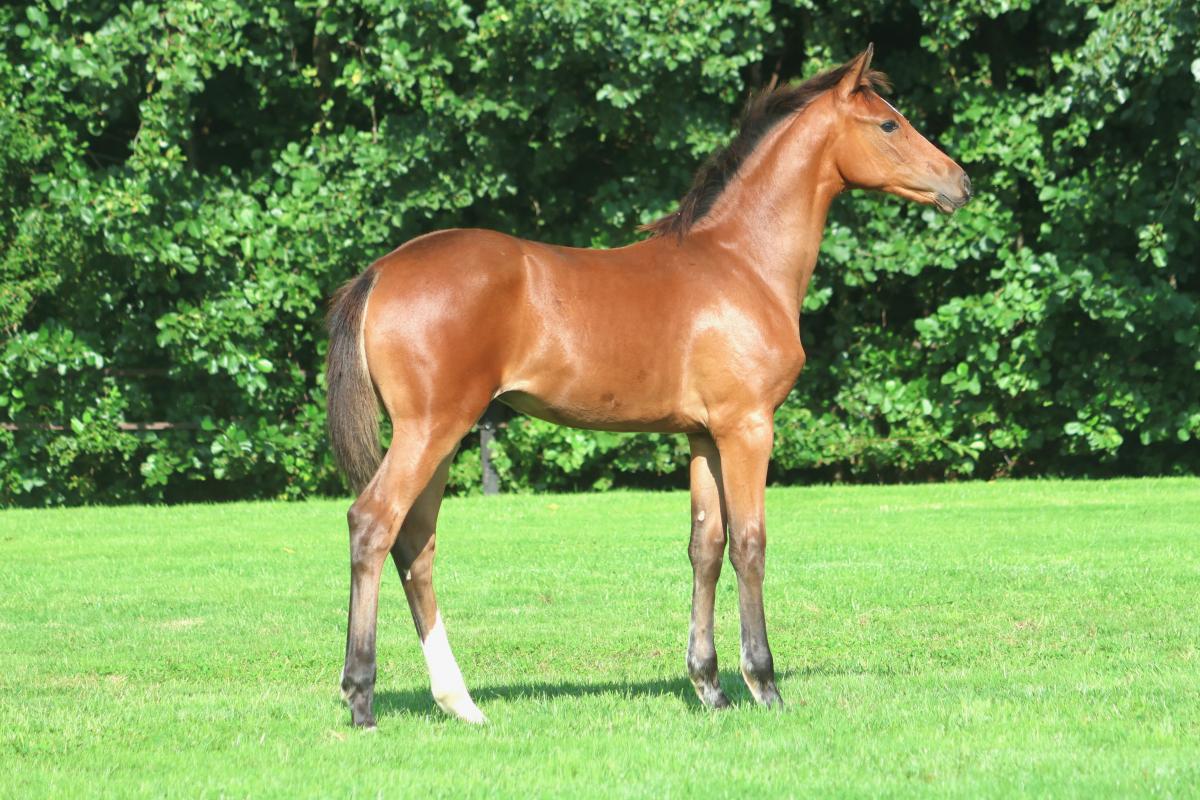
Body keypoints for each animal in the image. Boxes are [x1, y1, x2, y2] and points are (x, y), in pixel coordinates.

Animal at [326, 45, 971, 727]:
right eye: (889, 124)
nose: (961, 183)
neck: (742, 263)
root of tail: (381, 270)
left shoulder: (703, 436)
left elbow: (705, 546)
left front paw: (710, 687)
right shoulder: (748, 427)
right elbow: (749, 544)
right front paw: (763, 685)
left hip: (444, 436)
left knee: (415, 543)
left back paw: (460, 702)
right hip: (431, 428)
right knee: (373, 524)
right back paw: (362, 698)